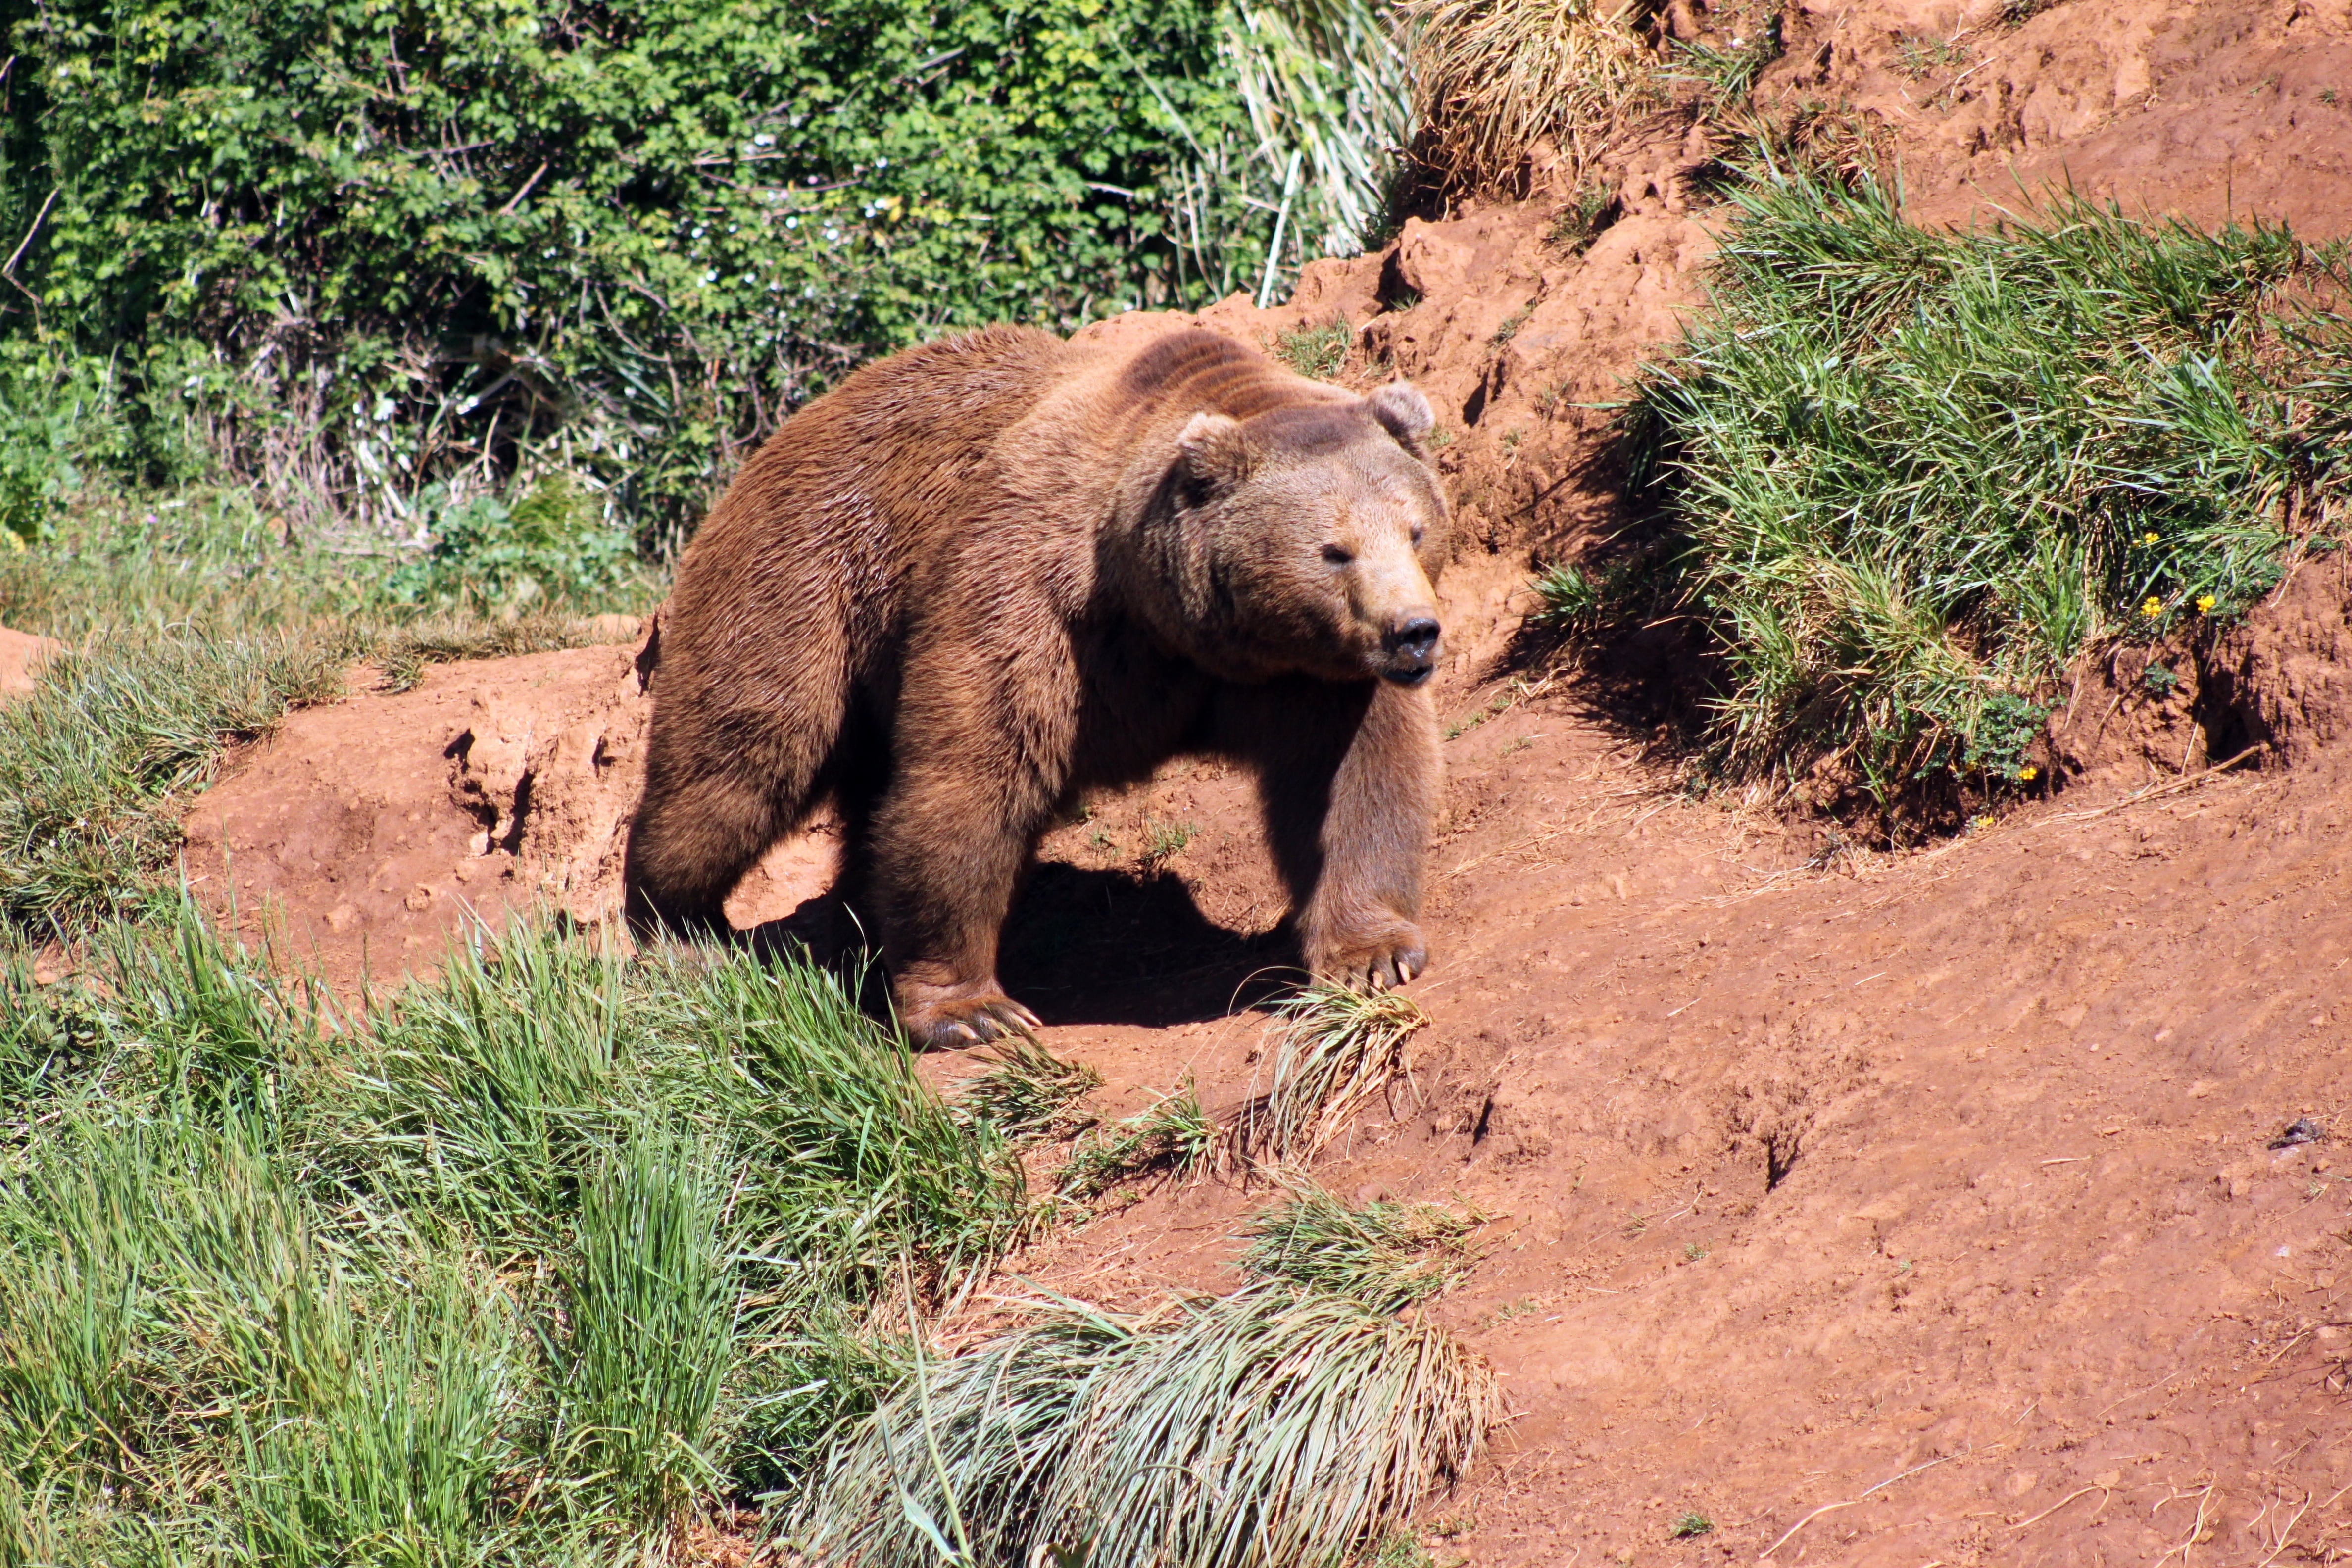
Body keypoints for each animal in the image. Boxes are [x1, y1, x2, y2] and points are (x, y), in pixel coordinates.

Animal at [625, 321, 1449, 1047]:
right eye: (1335, 550)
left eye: (1414, 528)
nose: (1413, 632)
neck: (1176, 621)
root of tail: (791, 426)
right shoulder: (1034, 598)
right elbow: (975, 778)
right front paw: (973, 1010)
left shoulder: (1313, 676)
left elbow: (1354, 782)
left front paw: (1373, 955)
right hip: (807, 578)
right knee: (742, 764)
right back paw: (679, 930)